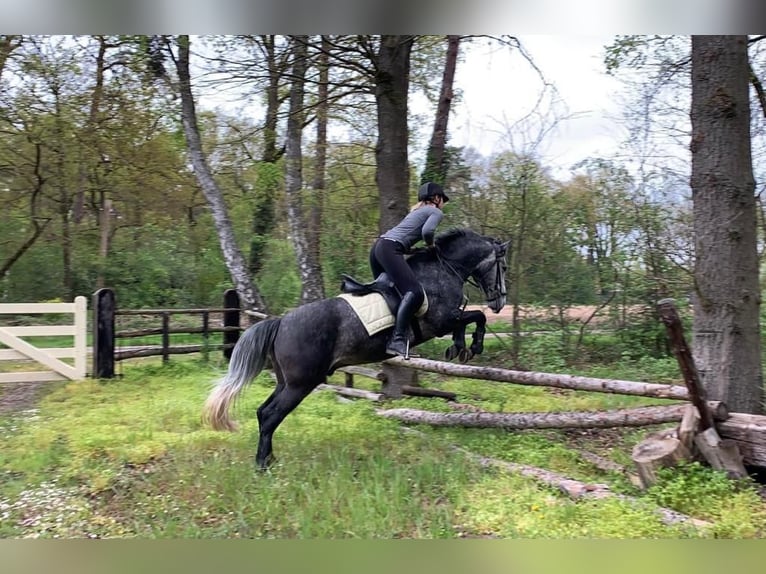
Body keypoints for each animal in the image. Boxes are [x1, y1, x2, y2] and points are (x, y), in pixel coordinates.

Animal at [204, 227, 510, 470]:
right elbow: (475, 317)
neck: (444, 268)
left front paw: (460, 348)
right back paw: (263, 466)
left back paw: (269, 459)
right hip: (300, 384)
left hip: (286, 382)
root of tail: (280, 323)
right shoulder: (441, 320)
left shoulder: (448, 319)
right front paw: (473, 345)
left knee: (262, 412)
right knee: (270, 416)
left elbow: (467, 320)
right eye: (503, 268)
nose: (500, 302)